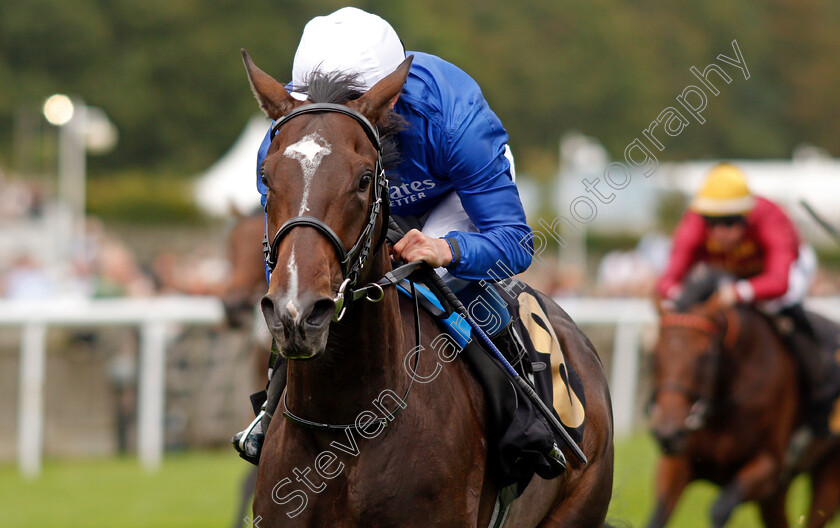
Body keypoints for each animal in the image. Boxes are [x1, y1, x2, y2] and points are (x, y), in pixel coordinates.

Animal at [648, 290, 840, 524]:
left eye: (703, 356)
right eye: (655, 355)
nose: (668, 433)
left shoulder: (769, 468)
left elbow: (719, 509)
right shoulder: (677, 463)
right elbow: (658, 515)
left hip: (829, 476)